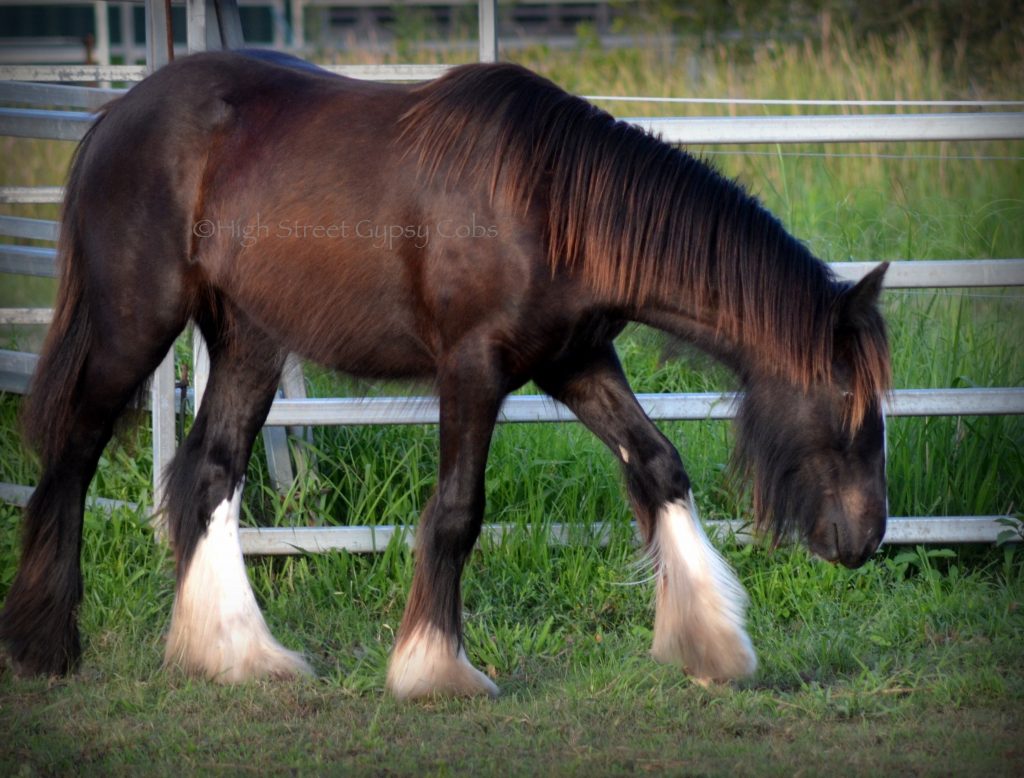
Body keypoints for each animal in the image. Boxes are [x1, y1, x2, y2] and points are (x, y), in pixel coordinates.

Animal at [0, 53, 888, 700]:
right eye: (848, 402)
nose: (867, 540)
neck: (547, 201)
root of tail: (115, 116)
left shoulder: (575, 362)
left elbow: (659, 464)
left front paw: (712, 643)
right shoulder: (473, 367)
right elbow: (459, 510)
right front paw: (433, 669)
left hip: (250, 338)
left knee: (211, 473)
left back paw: (237, 654)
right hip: (135, 322)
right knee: (73, 453)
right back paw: (43, 643)